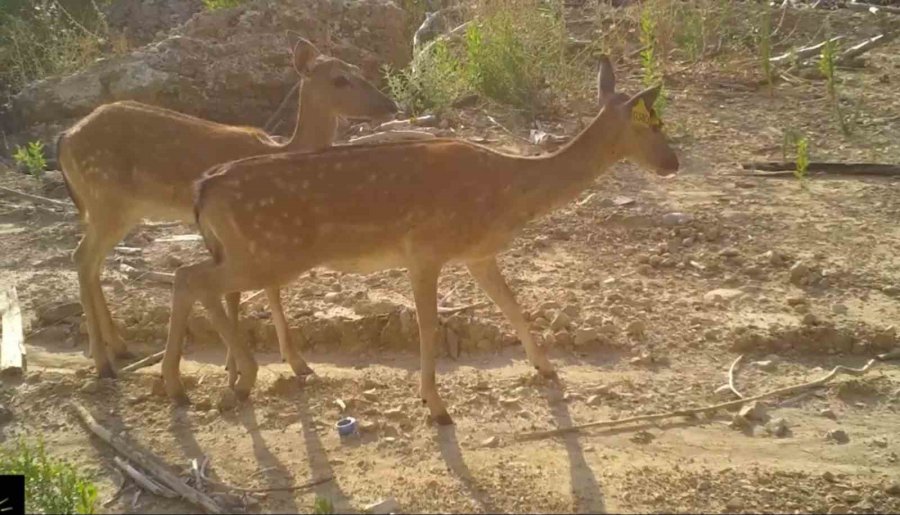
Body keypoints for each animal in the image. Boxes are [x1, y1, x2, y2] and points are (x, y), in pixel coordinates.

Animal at [53, 37, 398, 378]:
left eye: (357, 70)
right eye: (340, 79)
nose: (390, 105)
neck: (281, 150)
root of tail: (65, 138)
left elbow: (254, 288)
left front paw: (282, 363)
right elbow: (248, 289)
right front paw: (243, 366)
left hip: (112, 209)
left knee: (92, 263)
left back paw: (120, 347)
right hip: (108, 200)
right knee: (83, 258)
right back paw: (102, 362)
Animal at [165, 54, 680, 426]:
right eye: (654, 124)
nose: (673, 163)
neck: (510, 190)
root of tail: (203, 187)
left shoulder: (478, 253)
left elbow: (511, 305)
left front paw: (546, 368)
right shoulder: (425, 249)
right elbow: (427, 326)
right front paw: (436, 407)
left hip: (247, 250)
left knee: (192, 278)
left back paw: (203, 382)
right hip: (269, 251)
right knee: (191, 277)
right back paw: (219, 381)